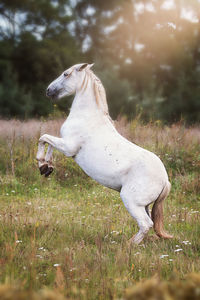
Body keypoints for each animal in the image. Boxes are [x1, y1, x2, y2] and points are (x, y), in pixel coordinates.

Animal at [36, 62, 173, 244]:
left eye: (66, 74)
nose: (48, 91)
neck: (87, 117)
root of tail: (165, 180)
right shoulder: (64, 144)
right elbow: (49, 143)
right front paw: (46, 167)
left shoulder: (68, 147)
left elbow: (44, 138)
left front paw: (41, 163)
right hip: (145, 205)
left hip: (132, 201)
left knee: (146, 224)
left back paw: (127, 245)